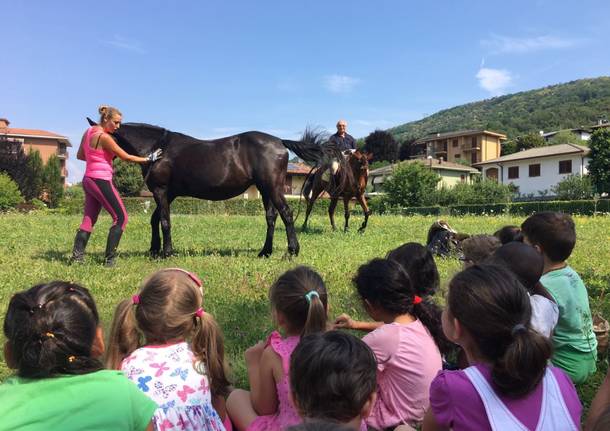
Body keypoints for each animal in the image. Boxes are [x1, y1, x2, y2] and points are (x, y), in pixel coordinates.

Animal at [88, 118, 324, 258]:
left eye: (96, 137)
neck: (158, 149)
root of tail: (280, 142)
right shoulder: (168, 194)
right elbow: (155, 219)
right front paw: (154, 250)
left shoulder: (161, 191)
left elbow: (164, 221)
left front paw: (166, 252)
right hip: (265, 190)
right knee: (271, 217)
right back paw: (265, 252)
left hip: (272, 187)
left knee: (286, 214)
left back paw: (292, 250)